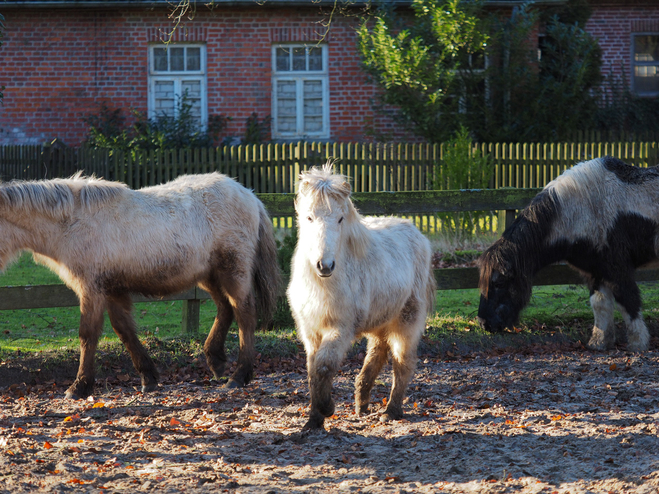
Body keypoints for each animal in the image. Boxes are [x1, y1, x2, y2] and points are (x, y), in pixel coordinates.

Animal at [0, 172, 282, 400]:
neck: (72, 222)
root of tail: (250, 196)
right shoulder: (112, 290)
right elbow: (124, 331)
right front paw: (149, 377)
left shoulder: (92, 289)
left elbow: (88, 334)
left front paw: (78, 387)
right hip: (209, 276)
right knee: (225, 309)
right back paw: (216, 361)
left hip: (233, 271)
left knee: (245, 315)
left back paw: (239, 375)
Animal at [286, 164, 436, 430]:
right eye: (309, 217)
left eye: (340, 218)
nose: (325, 265)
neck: (323, 285)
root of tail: (416, 233)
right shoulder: (310, 332)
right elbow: (313, 371)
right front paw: (313, 420)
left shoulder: (340, 329)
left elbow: (324, 367)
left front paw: (327, 408)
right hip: (381, 320)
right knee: (378, 353)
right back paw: (361, 403)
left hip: (406, 321)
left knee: (402, 363)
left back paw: (391, 411)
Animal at [480, 156, 659, 354]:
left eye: (499, 283)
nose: (484, 323)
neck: (581, 210)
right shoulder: (596, 271)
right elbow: (599, 303)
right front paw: (599, 343)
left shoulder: (618, 270)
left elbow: (628, 302)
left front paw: (638, 344)